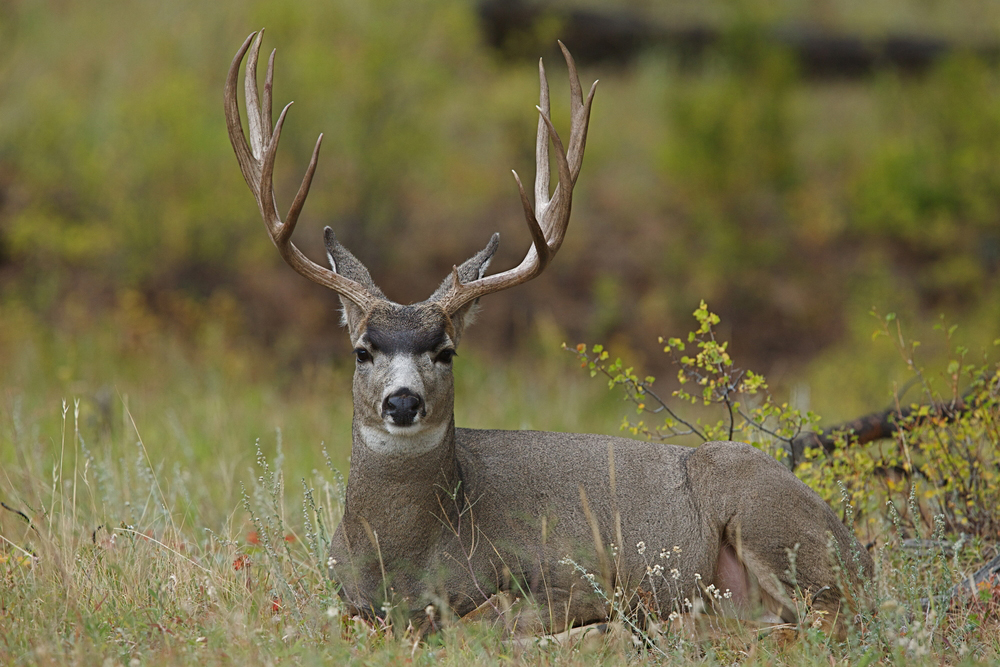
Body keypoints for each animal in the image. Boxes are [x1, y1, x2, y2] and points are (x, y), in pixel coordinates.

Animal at [229, 30, 876, 636]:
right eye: (363, 351)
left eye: (446, 351)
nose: (404, 401)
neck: (409, 561)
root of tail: (860, 553)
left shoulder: (572, 573)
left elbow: (493, 620)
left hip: (763, 511)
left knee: (824, 617)